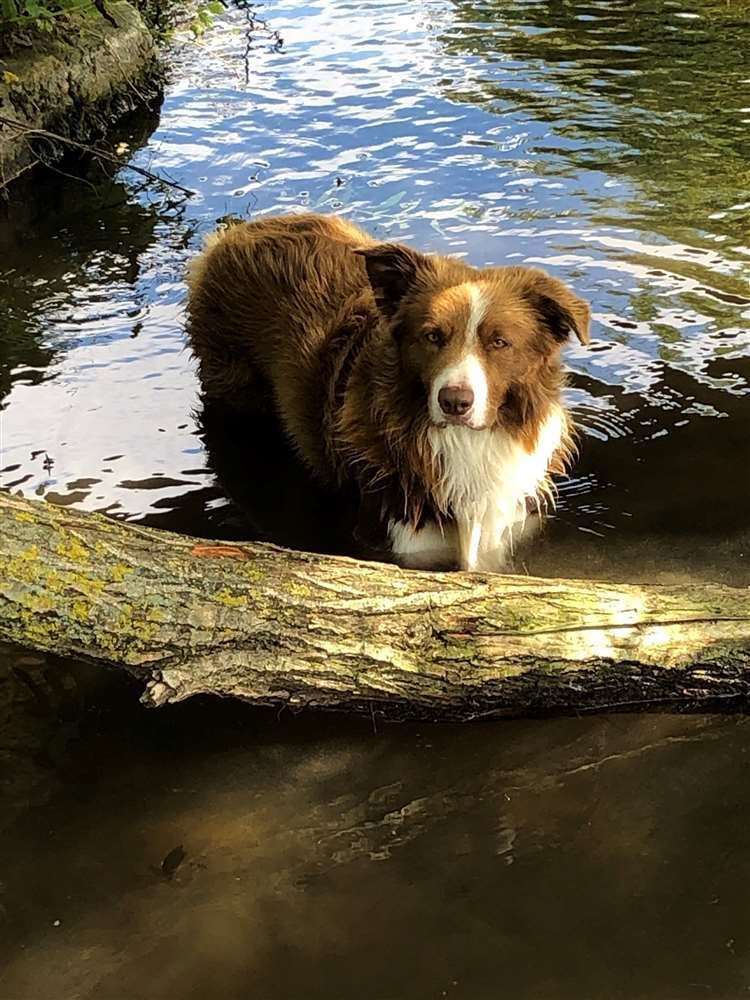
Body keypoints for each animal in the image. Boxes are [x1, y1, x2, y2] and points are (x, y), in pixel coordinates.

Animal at [185, 211, 592, 572]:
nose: (454, 402)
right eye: (432, 336)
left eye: (499, 342)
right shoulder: (406, 543)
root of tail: (236, 234)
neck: (467, 443)